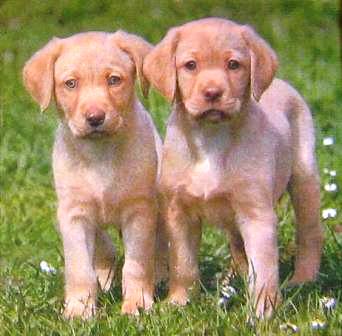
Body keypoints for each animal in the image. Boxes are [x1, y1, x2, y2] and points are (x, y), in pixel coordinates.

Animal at [23, 32, 162, 320]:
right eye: (70, 83)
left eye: (114, 80)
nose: (95, 117)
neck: (100, 154)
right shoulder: (74, 214)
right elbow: (79, 268)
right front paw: (79, 309)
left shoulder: (140, 211)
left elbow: (137, 264)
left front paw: (137, 304)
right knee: (103, 247)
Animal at [143, 18, 322, 318]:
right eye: (190, 65)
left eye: (233, 64)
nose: (212, 93)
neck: (212, 138)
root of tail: (281, 83)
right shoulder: (179, 213)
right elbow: (183, 264)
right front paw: (179, 301)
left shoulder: (257, 214)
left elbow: (264, 269)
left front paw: (263, 311)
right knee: (238, 248)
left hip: (304, 180)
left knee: (309, 236)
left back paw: (303, 279)